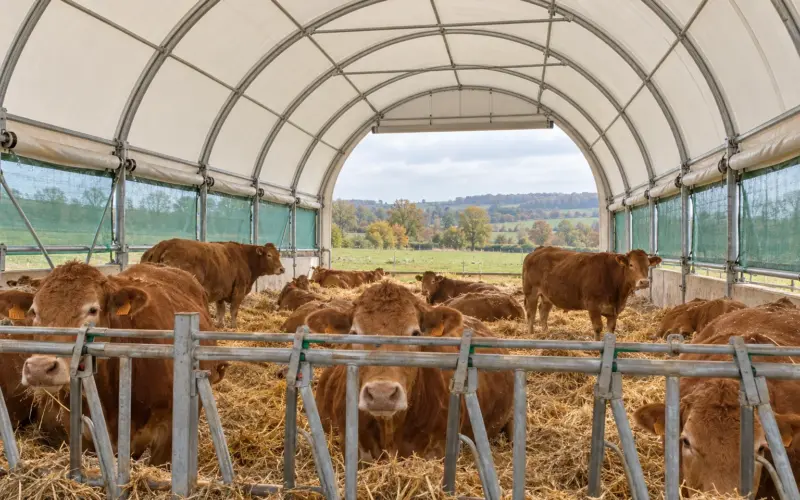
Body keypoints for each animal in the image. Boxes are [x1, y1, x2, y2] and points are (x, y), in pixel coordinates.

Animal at [141, 238, 285, 328]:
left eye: (279, 255)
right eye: (269, 255)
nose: (282, 269)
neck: (244, 258)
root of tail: (165, 243)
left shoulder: (221, 291)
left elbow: (221, 310)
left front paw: (220, 325)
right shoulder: (239, 289)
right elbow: (234, 310)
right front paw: (233, 326)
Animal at [523, 247, 661, 339]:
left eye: (648, 265)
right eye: (631, 265)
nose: (644, 282)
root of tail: (539, 250)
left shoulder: (613, 311)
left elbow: (610, 330)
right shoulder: (593, 306)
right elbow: (598, 328)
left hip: (548, 295)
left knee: (543, 311)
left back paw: (545, 332)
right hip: (531, 292)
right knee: (531, 313)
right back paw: (530, 334)